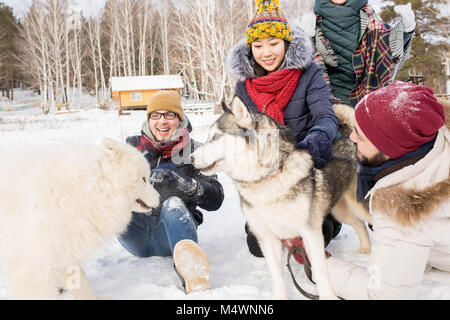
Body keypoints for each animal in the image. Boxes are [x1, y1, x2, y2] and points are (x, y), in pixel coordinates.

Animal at [192, 96, 370, 298]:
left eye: (215, 137)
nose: (190, 157)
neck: (265, 179)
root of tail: (348, 141)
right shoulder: (267, 237)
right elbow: (276, 274)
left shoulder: (310, 232)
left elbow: (319, 269)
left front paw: (327, 296)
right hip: (341, 210)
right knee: (359, 224)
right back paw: (365, 248)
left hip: (356, 206)